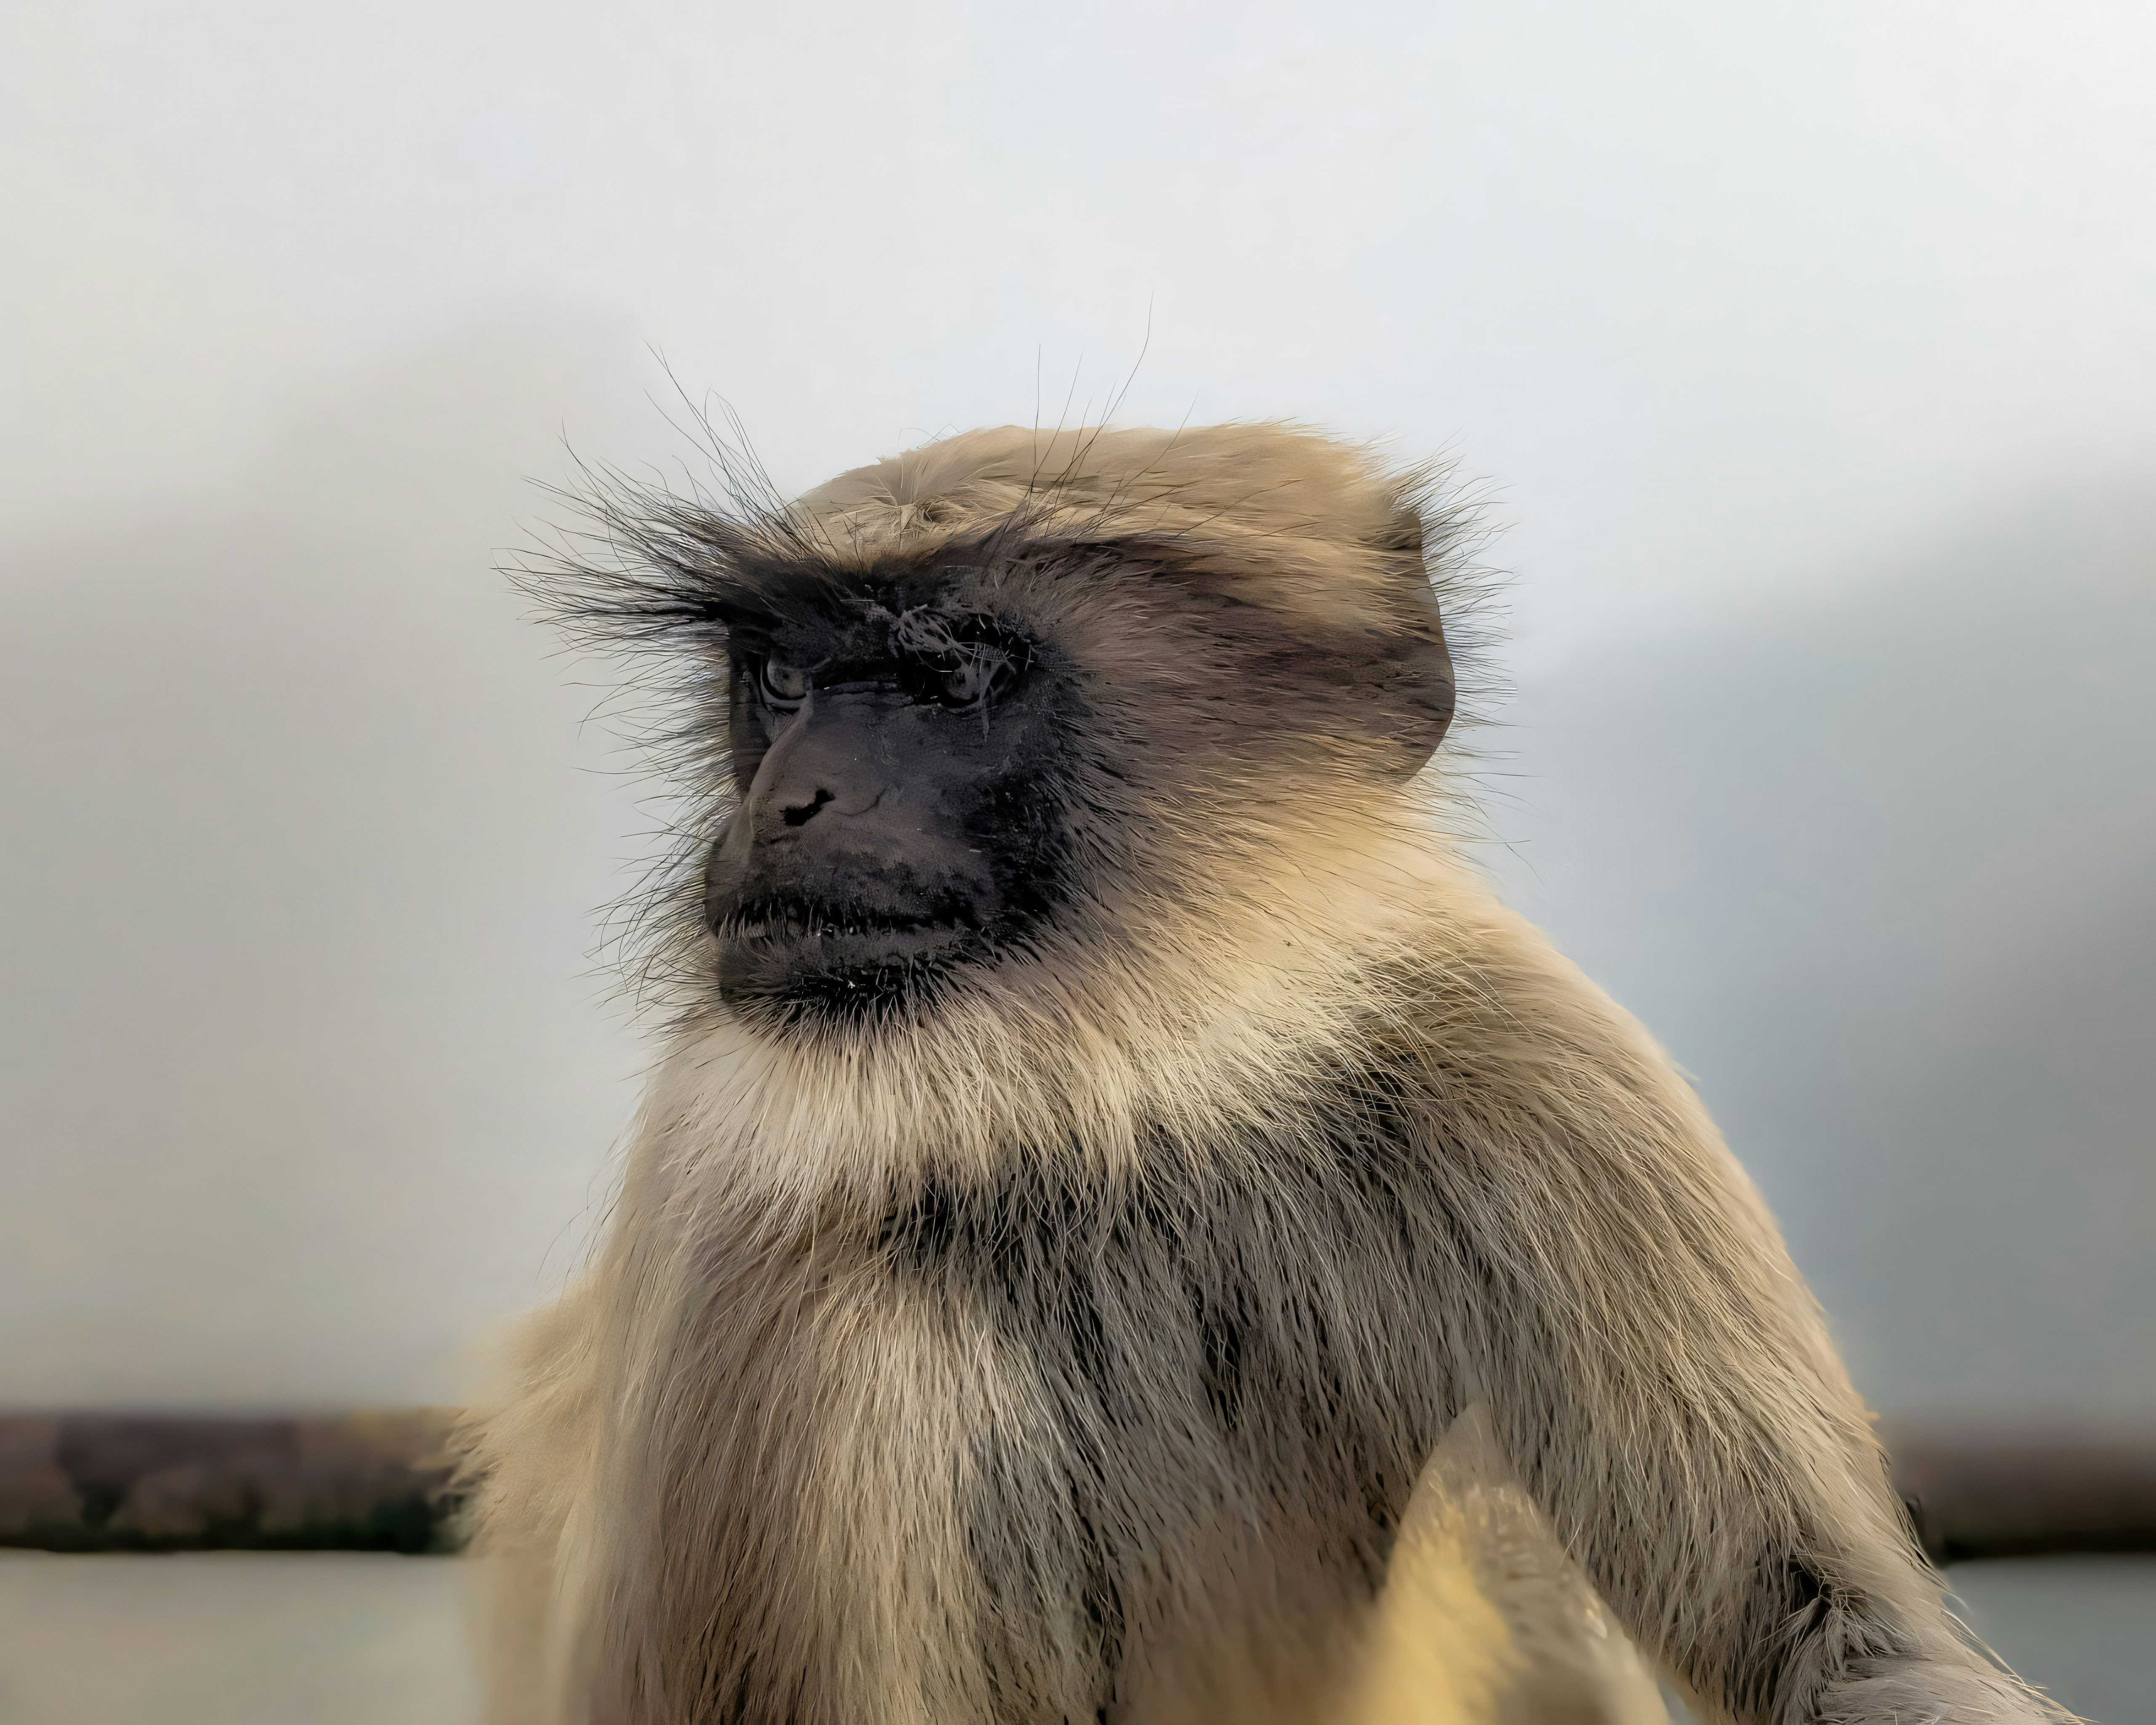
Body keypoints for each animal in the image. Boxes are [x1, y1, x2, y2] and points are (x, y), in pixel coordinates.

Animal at [458, 423, 2063, 1725]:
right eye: (783, 679)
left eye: (950, 676)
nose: (790, 798)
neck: (1117, 1100)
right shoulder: (736, 1227)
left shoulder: (1529, 1064)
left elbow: (1842, 1644)